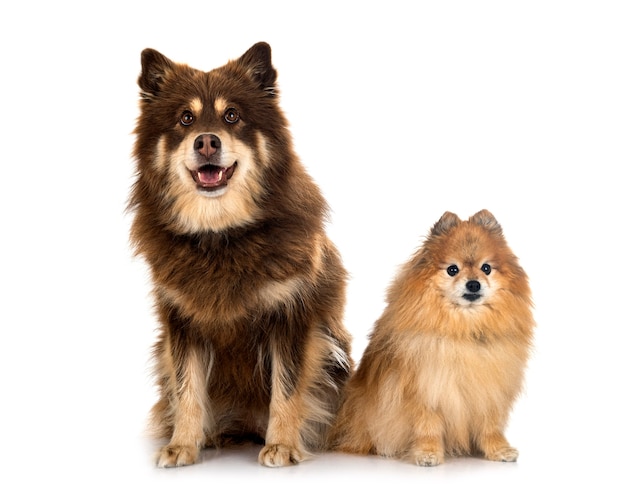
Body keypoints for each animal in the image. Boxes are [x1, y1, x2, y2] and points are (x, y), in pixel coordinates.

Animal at [128, 43, 352, 468]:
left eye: (232, 115)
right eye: (185, 118)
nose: (206, 141)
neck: (221, 235)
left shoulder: (292, 317)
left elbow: (286, 388)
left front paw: (282, 445)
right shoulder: (181, 323)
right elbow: (187, 389)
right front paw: (183, 445)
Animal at [332, 209, 532, 462]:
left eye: (486, 268)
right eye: (452, 269)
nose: (473, 284)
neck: (464, 329)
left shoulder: (489, 391)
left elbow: (490, 427)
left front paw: (499, 450)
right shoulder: (426, 390)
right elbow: (428, 426)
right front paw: (428, 453)